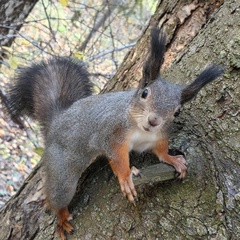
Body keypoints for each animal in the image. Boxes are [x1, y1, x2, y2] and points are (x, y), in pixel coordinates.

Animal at [7, 27, 225, 238]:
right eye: (145, 92)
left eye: (177, 111)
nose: (153, 121)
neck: (141, 129)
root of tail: (57, 120)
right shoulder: (112, 133)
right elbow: (117, 157)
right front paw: (126, 176)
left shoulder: (159, 137)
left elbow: (161, 151)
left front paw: (173, 159)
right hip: (62, 168)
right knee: (58, 194)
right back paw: (61, 217)